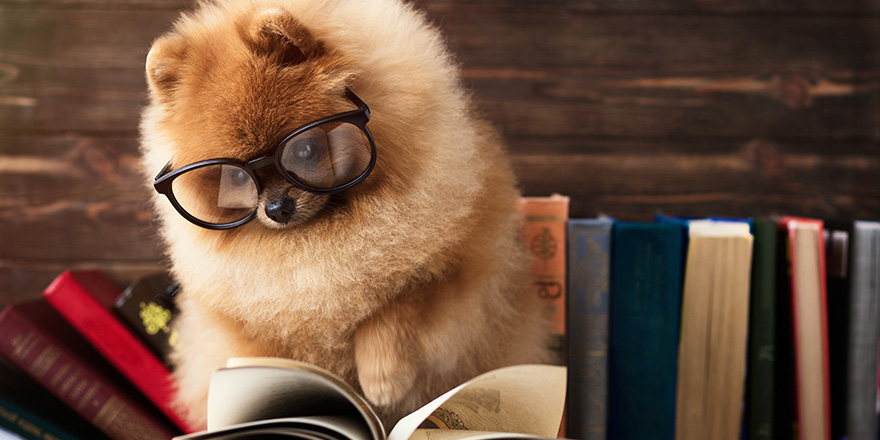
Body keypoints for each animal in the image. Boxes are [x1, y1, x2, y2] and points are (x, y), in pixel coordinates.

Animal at [139, 0, 552, 430]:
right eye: (234, 177)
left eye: (304, 150)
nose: (277, 208)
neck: (326, 238)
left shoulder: (461, 262)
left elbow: (400, 301)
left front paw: (383, 377)